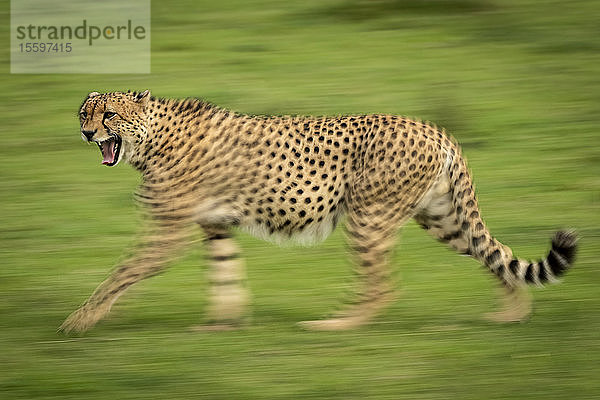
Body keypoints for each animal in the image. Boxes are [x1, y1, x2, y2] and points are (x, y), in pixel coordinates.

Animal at [59, 91, 576, 334]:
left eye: (108, 115)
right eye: (84, 112)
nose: (86, 133)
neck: (150, 137)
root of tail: (433, 127)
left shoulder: (168, 233)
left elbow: (121, 274)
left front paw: (79, 321)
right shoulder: (216, 225)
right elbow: (225, 277)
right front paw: (222, 324)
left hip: (369, 216)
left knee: (382, 285)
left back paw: (336, 326)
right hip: (441, 218)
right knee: (491, 252)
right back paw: (512, 312)